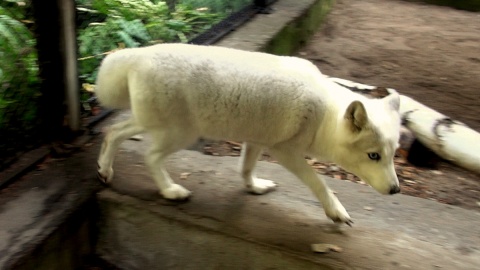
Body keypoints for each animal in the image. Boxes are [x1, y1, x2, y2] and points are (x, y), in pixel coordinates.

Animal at [94, 43, 402, 226]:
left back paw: (105, 170)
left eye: (392, 156)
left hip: (152, 123)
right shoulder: (284, 151)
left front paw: (254, 188)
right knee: (150, 155)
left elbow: (245, 168)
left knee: (112, 132)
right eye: (373, 156)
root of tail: (139, 53)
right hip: (181, 134)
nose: (396, 190)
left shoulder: (256, 140)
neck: (323, 115)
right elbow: (319, 183)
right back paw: (170, 190)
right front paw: (335, 211)